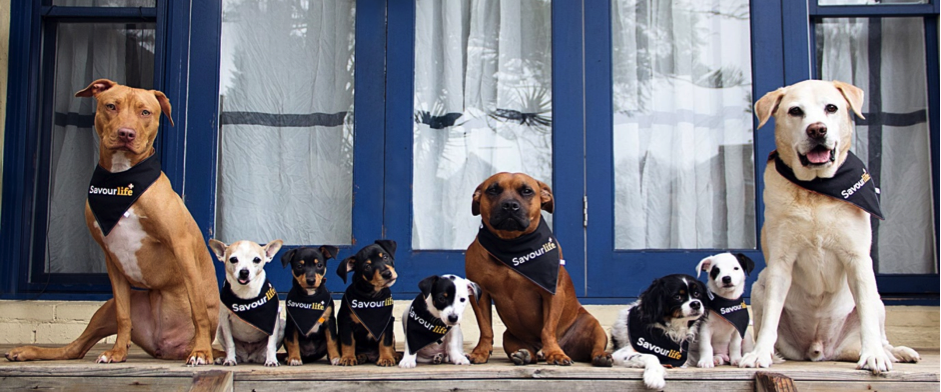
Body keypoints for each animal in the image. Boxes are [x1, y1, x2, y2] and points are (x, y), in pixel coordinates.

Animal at [5, 78, 218, 366]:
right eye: (111, 106)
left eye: (145, 112)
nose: (126, 133)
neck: (122, 180)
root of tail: (167, 347)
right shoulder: (112, 259)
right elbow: (123, 315)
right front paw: (117, 352)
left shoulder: (181, 247)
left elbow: (198, 308)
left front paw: (202, 352)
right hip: (106, 308)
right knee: (74, 349)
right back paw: (27, 351)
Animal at [466, 172, 612, 368]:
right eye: (493, 190)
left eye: (527, 191)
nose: (510, 205)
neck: (511, 245)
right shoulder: (480, 295)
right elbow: (486, 328)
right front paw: (481, 352)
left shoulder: (552, 292)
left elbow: (547, 328)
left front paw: (555, 353)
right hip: (509, 336)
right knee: (528, 352)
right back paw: (525, 355)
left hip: (593, 326)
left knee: (595, 346)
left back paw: (600, 356)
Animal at [740, 79, 916, 374]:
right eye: (795, 111)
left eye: (831, 108)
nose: (817, 129)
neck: (817, 190)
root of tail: (820, 348)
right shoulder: (780, 263)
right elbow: (770, 319)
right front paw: (759, 354)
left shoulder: (858, 260)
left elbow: (867, 314)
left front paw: (874, 355)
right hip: (759, 286)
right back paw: (774, 353)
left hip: (879, 299)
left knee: (880, 331)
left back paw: (894, 352)